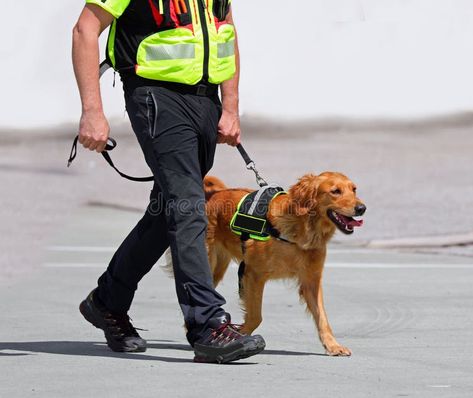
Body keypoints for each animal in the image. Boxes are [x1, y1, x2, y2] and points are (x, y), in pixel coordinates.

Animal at [203, 173, 366, 356]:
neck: (301, 230)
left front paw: (333, 345)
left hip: (217, 269)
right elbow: (255, 316)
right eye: (336, 191)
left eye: (354, 189)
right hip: (209, 262)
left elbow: (322, 318)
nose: (362, 208)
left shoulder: (311, 281)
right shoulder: (253, 275)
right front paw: (240, 335)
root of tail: (214, 195)